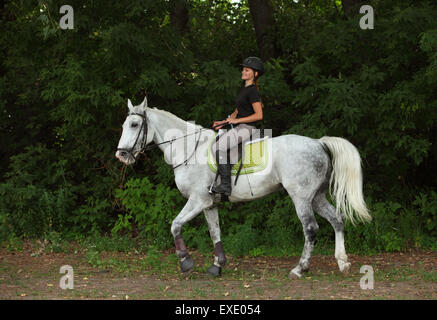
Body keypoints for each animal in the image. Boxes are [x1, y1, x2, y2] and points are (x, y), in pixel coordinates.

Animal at [114, 97, 370, 278]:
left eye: (135, 124)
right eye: (124, 124)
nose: (121, 155)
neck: (189, 150)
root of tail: (319, 143)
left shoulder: (197, 200)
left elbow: (175, 225)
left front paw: (185, 261)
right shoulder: (209, 204)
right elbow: (215, 233)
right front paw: (218, 265)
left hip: (301, 198)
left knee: (311, 229)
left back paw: (300, 269)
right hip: (316, 196)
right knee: (337, 220)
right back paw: (343, 262)